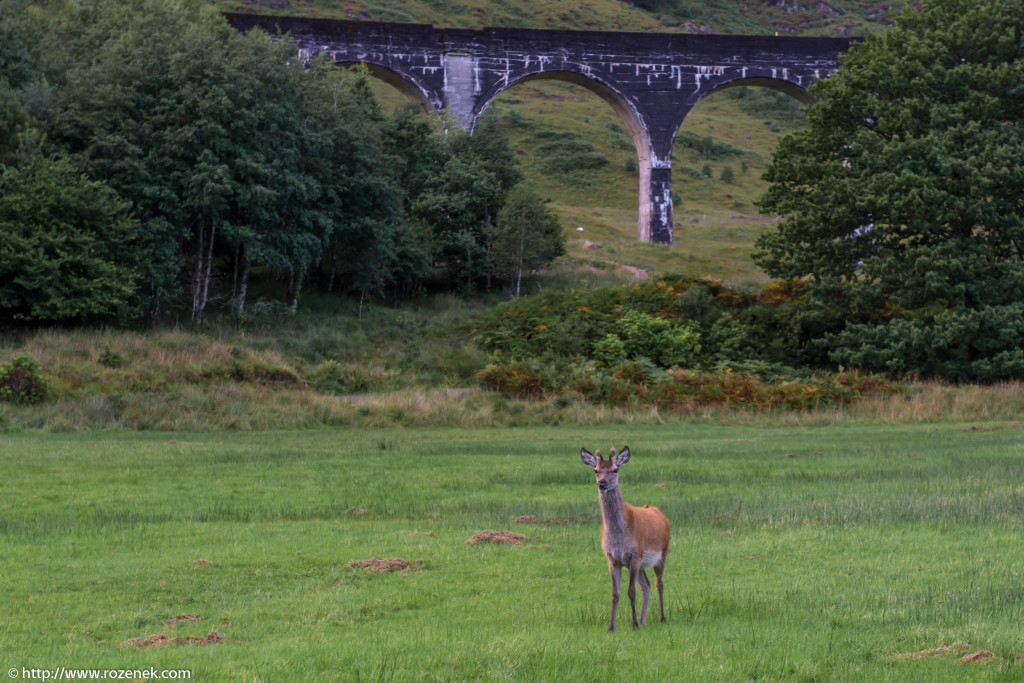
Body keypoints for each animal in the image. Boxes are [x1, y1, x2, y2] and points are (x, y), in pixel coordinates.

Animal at [581, 446, 667, 634]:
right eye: (596, 470)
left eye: (615, 469)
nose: (602, 484)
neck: (618, 538)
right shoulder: (612, 559)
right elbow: (615, 593)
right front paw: (611, 627)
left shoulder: (634, 555)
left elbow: (631, 591)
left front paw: (633, 624)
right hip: (642, 563)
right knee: (647, 585)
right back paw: (643, 621)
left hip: (663, 553)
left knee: (659, 583)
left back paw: (662, 618)